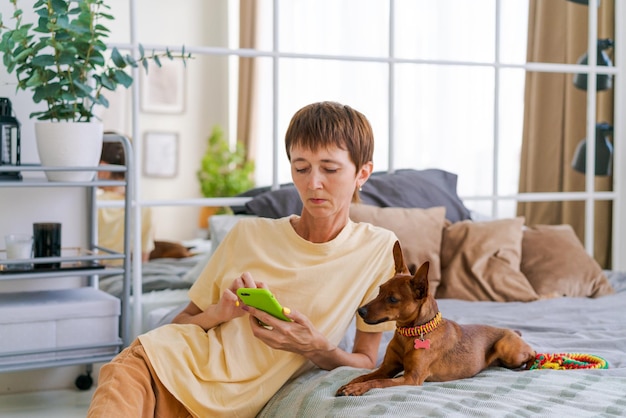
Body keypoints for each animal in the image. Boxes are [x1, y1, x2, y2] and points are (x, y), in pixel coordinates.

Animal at [334, 240, 532, 396]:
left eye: (393, 299)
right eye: (380, 290)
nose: (360, 311)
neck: (409, 334)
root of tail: (513, 332)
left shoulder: (410, 378)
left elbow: (377, 382)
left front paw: (356, 389)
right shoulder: (387, 368)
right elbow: (365, 376)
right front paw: (350, 384)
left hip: (507, 349)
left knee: (531, 353)